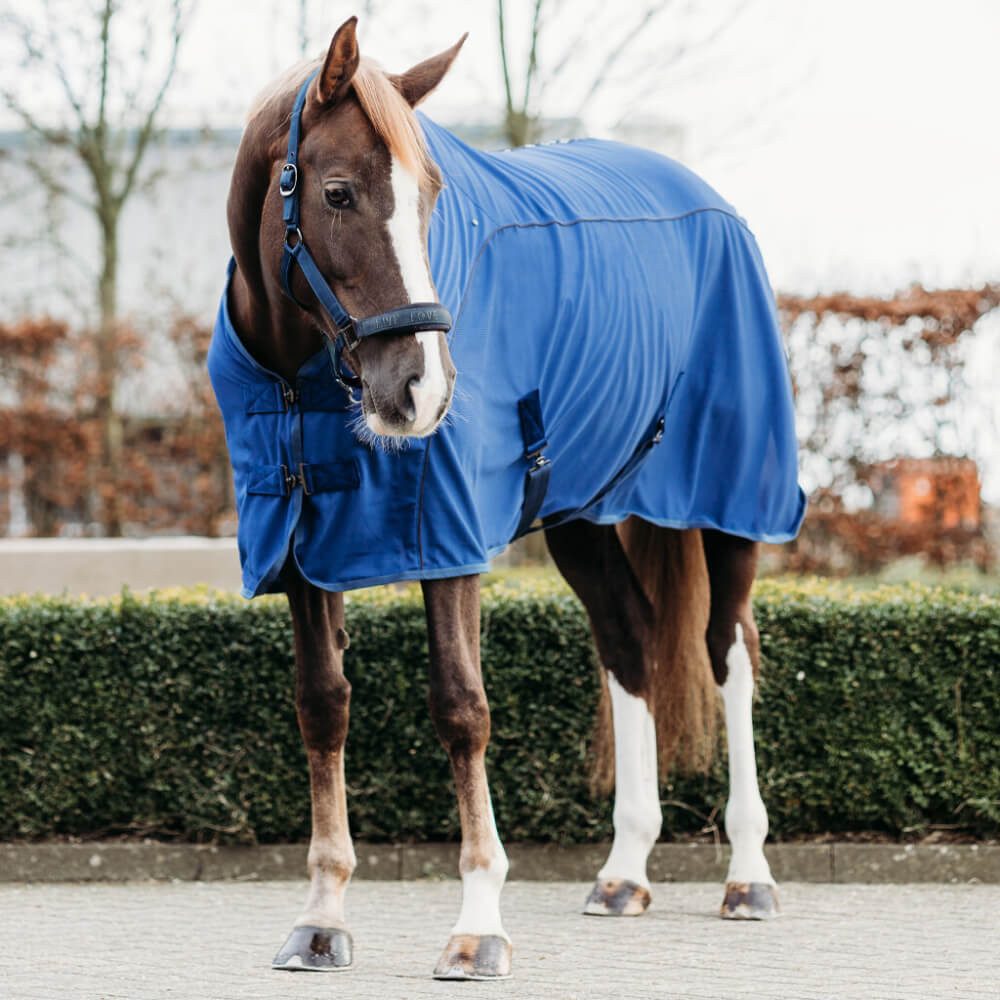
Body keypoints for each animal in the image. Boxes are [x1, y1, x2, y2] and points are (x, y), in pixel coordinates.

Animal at [209, 16, 805, 981]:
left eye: (432, 197)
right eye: (338, 193)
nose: (422, 392)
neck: (300, 381)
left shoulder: (446, 533)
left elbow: (461, 708)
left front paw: (479, 924)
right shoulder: (302, 547)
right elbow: (322, 705)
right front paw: (322, 918)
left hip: (730, 503)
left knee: (730, 650)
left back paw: (748, 875)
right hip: (582, 519)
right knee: (631, 642)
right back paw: (623, 873)